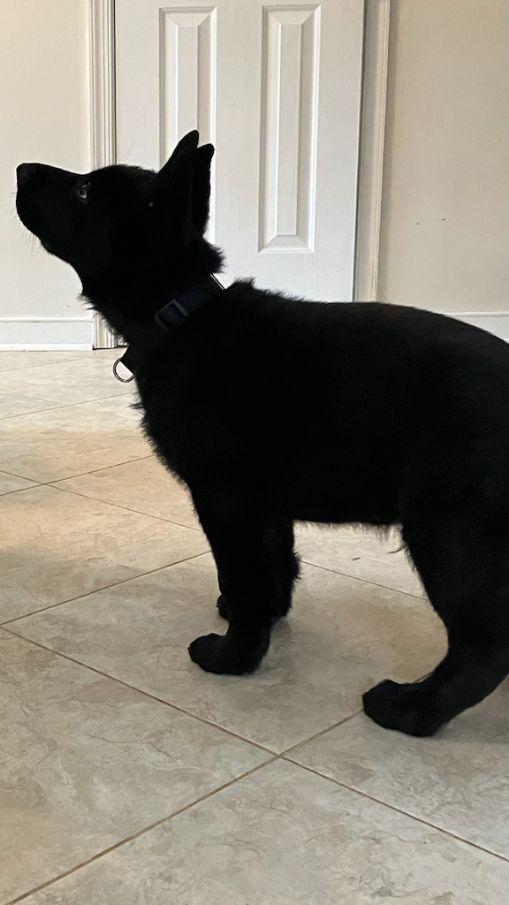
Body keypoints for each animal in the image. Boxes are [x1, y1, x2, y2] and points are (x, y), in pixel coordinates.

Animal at [16, 130, 509, 737]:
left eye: (84, 191)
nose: (19, 167)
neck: (180, 317)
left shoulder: (227, 502)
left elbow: (245, 574)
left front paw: (234, 656)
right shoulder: (265, 508)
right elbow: (274, 568)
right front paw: (261, 622)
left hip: (450, 533)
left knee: (483, 649)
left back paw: (410, 710)